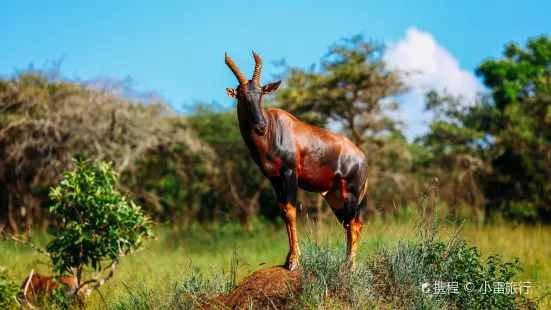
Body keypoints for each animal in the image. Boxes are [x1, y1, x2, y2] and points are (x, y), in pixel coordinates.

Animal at [224, 49, 370, 270]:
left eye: (260, 93)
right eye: (242, 95)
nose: (260, 126)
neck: (274, 128)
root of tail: (362, 157)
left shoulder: (290, 173)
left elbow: (291, 211)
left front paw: (293, 261)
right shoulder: (274, 178)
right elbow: (284, 211)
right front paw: (288, 259)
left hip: (351, 192)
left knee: (354, 224)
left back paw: (350, 266)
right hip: (334, 197)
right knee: (349, 224)